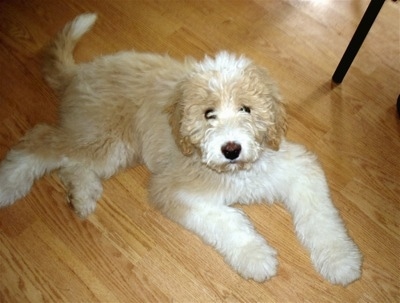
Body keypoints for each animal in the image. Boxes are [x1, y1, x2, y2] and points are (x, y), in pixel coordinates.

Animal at [0, 13, 362, 286]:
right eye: (208, 114)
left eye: (246, 109)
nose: (231, 149)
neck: (237, 171)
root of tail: (82, 71)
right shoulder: (173, 189)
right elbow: (227, 219)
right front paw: (256, 256)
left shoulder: (298, 167)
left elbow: (321, 216)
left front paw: (340, 261)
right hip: (100, 135)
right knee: (40, 140)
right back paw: (9, 184)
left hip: (114, 147)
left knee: (71, 164)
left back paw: (83, 196)